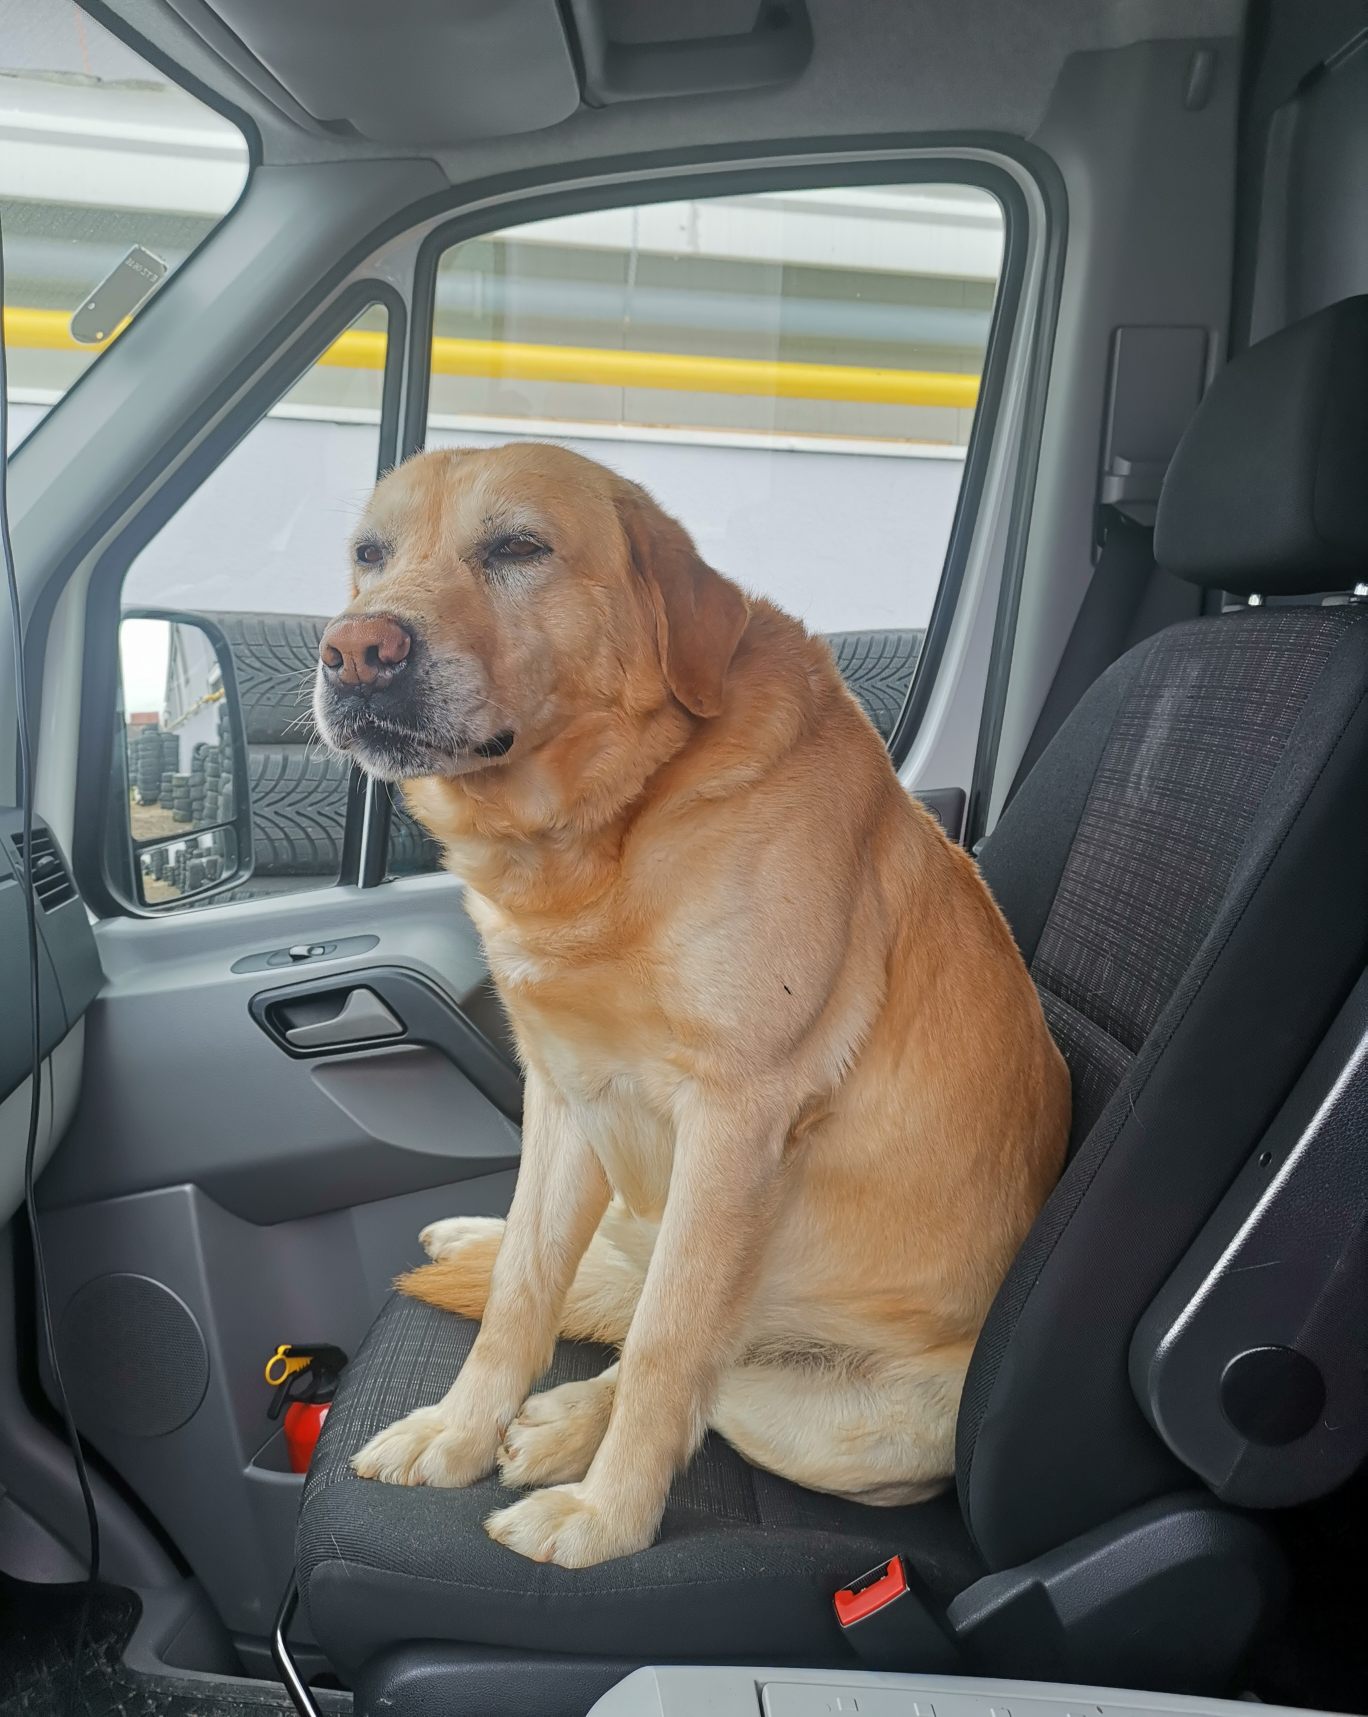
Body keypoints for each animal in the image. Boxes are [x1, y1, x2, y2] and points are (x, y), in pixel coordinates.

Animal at [312, 442, 1064, 1572]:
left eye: (518, 547)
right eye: (369, 553)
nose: (356, 650)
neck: (612, 823)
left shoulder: (734, 1122)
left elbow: (670, 1345)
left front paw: (607, 1516)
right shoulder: (565, 1094)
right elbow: (524, 1289)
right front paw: (458, 1429)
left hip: (835, 1420)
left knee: (695, 1356)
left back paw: (570, 1428)